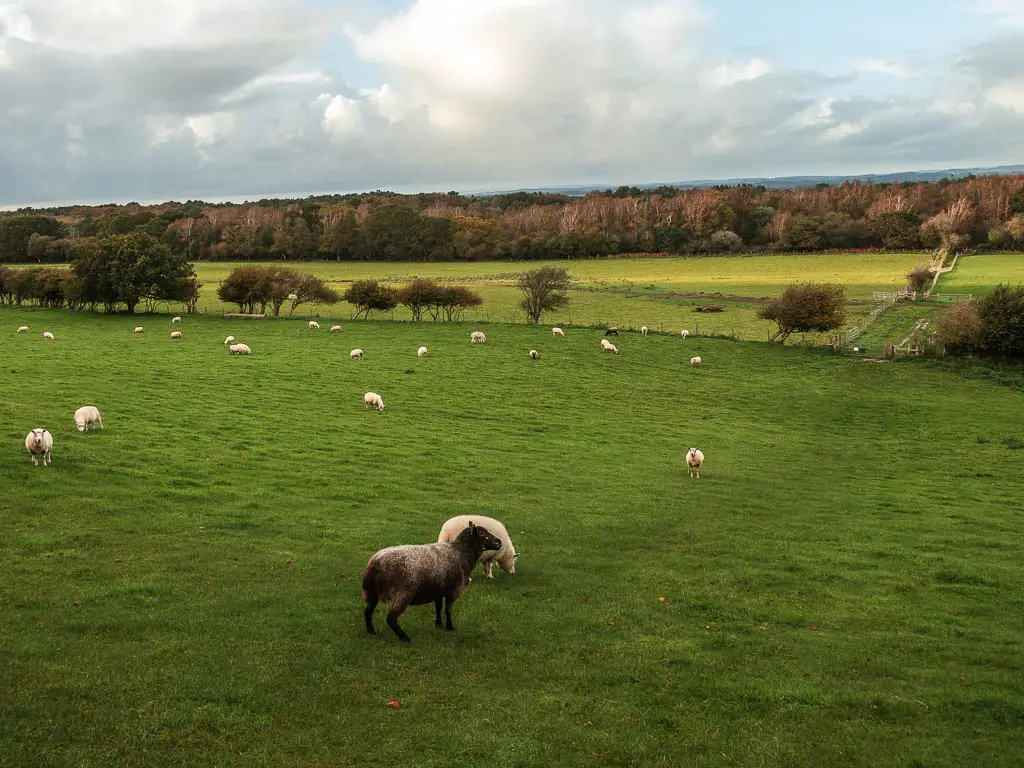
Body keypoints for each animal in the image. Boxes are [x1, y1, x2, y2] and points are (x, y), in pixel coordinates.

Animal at [364, 524, 503, 643]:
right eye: (482, 533)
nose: (500, 542)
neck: (461, 553)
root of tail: (375, 564)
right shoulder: (454, 590)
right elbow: (448, 609)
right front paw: (450, 627)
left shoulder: (439, 589)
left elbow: (438, 607)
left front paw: (439, 625)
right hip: (401, 594)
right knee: (391, 619)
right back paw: (405, 639)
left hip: (371, 593)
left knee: (367, 611)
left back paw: (371, 632)